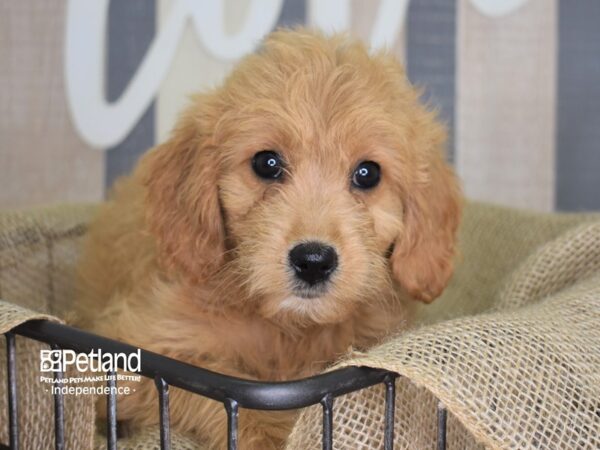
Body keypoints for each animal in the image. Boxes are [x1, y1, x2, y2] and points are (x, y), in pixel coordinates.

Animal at [77, 29, 462, 450]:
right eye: (267, 163)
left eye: (368, 173)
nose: (313, 261)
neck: (288, 329)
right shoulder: (137, 347)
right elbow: (226, 396)